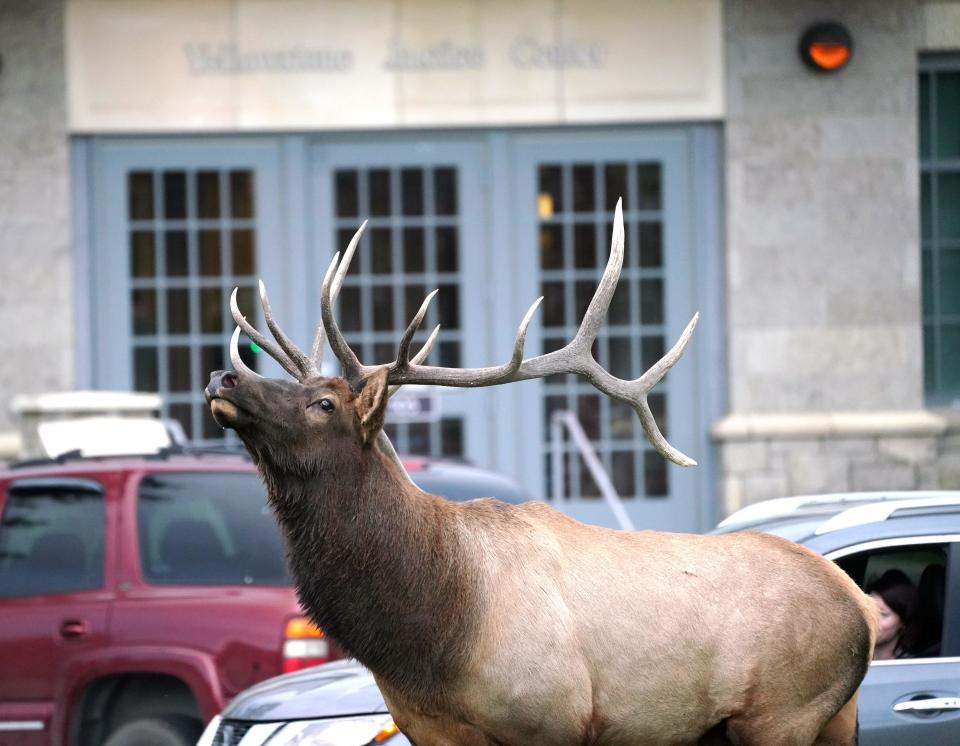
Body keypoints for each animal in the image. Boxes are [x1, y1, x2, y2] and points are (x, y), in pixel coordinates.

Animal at [208, 201, 876, 740]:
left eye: (324, 403)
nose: (223, 376)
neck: (432, 637)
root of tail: (862, 608)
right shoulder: (430, 730)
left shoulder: (550, 717)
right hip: (833, 719)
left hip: (781, 712)